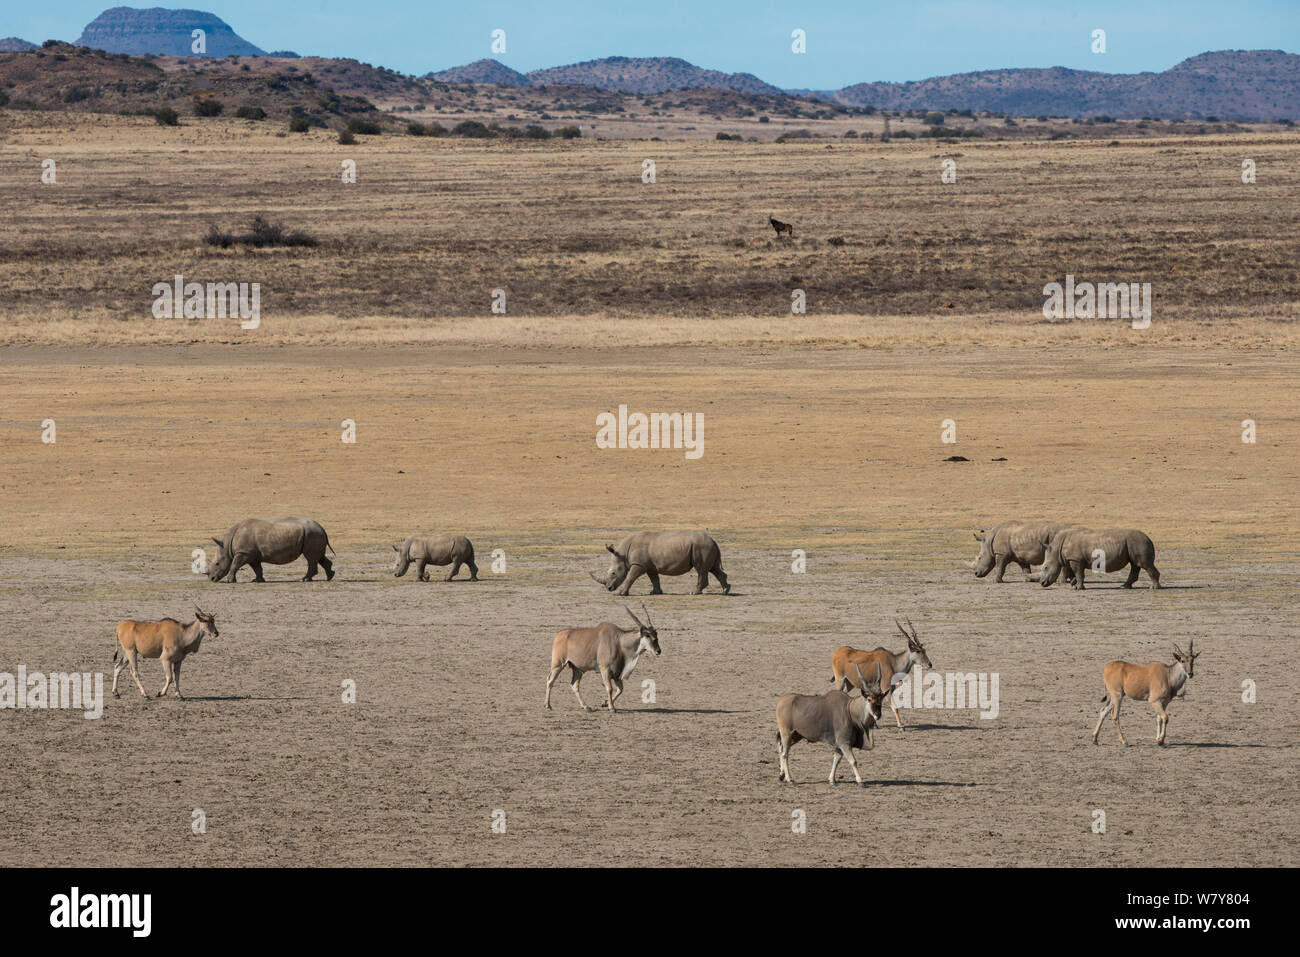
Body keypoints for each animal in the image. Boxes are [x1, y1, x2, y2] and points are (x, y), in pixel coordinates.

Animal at [592, 527, 733, 595]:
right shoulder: (649, 565)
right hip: (707, 546)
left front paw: (621, 594)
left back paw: (694, 593)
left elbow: (630, 577)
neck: (623, 555)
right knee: (713, 569)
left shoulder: (638, 564)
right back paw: (725, 591)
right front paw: (655, 592)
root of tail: (713, 540)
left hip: (702, 546)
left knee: (701, 570)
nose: (609, 588)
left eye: (613, 573)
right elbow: (654, 579)